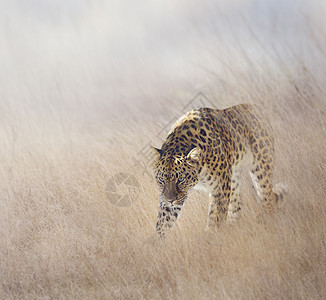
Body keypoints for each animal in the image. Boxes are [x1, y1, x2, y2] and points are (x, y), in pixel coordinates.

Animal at [152, 104, 284, 236]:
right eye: (161, 180)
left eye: (181, 179)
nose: (170, 200)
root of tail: (254, 107)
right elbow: (163, 221)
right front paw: (158, 240)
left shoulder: (220, 189)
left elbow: (215, 217)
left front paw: (212, 236)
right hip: (233, 179)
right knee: (236, 207)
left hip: (261, 167)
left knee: (268, 198)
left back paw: (267, 221)